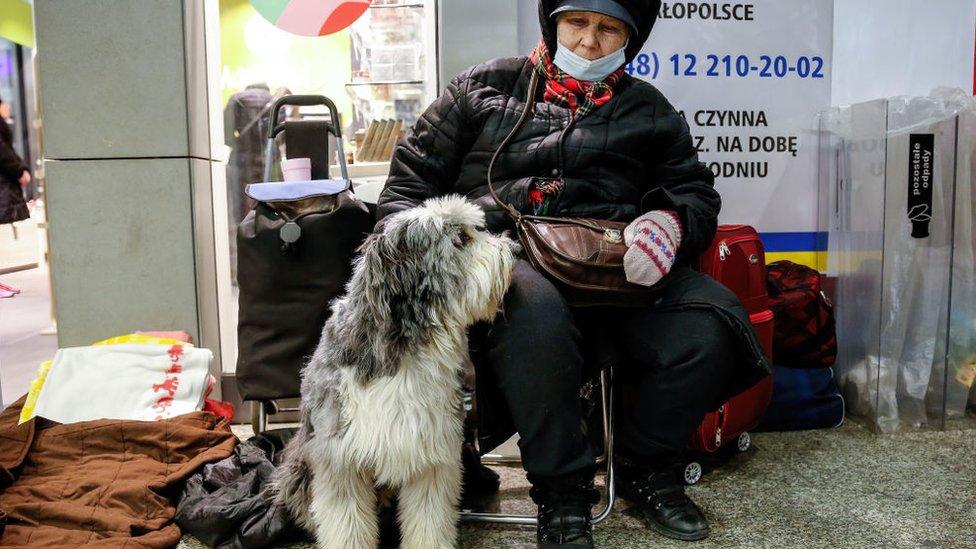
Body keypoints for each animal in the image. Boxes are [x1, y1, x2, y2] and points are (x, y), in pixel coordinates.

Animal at [274, 196, 520, 548]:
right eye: (461, 239)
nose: (515, 249)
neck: (406, 347)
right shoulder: (341, 457)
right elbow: (347, 523)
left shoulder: (431, 453)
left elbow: (429, 520)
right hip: (298, 467)